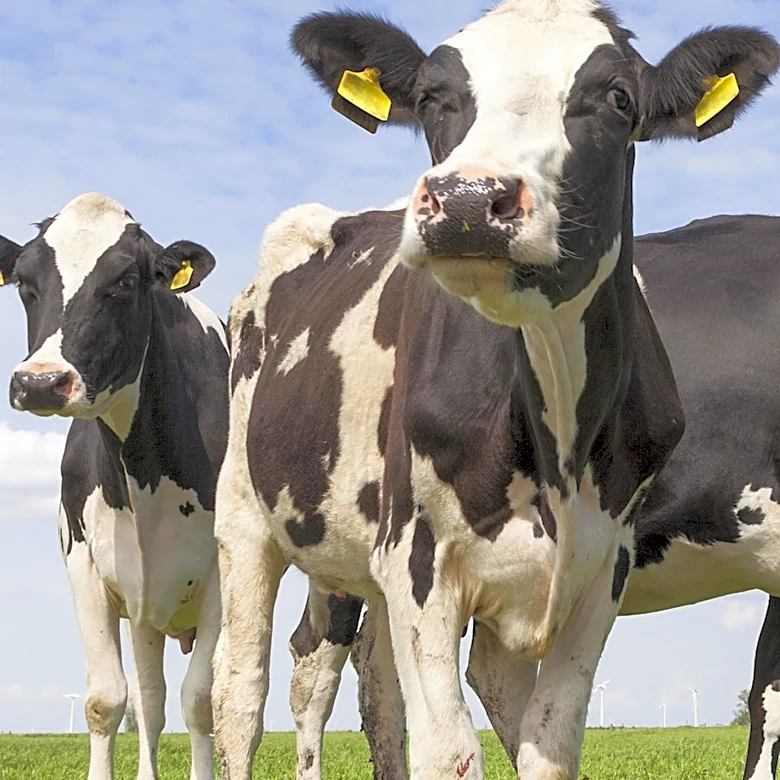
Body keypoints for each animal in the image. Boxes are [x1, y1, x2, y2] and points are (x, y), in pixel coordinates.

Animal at [0, 192, 229, 780]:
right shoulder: (85, 567)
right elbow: (109, 700)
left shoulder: (224, 567)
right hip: (145, 607)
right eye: (25, 282)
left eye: (125, 280)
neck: (141, 468)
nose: (40, 381)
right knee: (149, 701)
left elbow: (202, 700)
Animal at [212, 3, 779, 780]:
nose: (468, 198)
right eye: (430, 97)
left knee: (382, 680)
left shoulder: (602, 566)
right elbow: (450, 751)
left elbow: (551, 740)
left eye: (618, 98)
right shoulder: (419, 561)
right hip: (247, 516)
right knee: (249, 690)